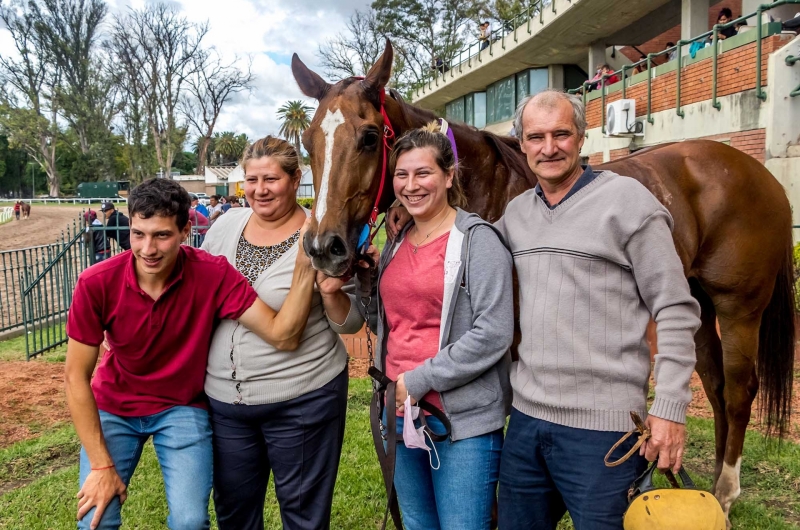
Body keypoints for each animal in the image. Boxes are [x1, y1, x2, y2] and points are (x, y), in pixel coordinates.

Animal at [292, 41, 792, 520]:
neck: (484, 189)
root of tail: (756, 171)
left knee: (739, 389)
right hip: (697, 301)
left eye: (368, 137)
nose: (323, 247)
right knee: (714, 383)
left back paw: (724, 493)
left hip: (739, 305)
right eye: (308, 142)